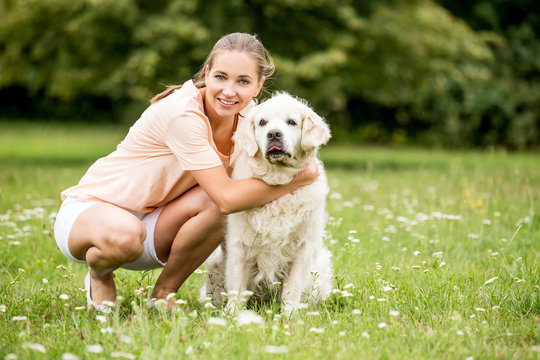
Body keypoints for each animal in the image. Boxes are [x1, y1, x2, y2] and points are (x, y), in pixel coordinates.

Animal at [200, 93, 332, 316]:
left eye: (291, 122)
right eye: (263, 122)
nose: (274, 134)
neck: (277, 184)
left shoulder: (303, 247)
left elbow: (292, 288)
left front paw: (289, 316)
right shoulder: (240, 246)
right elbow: (236, 286)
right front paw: (232, 316)